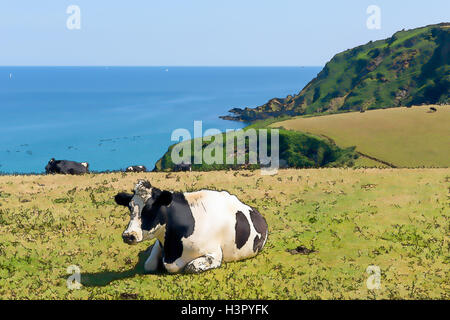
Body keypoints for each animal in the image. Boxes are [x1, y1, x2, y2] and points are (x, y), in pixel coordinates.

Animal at [114, 180, 268, 272]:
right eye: (130, 207)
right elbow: (149, 264)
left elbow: (191, 267)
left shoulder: (215, 254)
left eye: (151, 208)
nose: (129, 235)